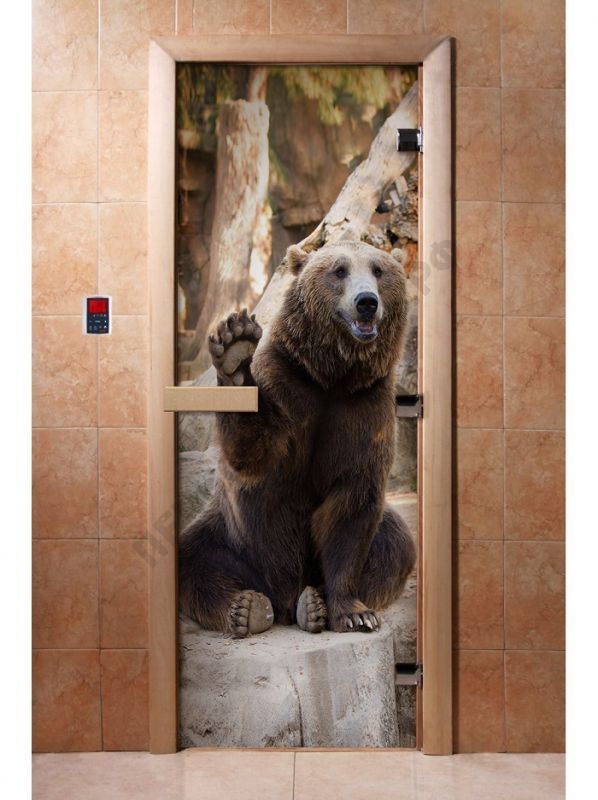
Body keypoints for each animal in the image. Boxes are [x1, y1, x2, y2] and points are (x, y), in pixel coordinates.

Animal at [179, 240, 416, 637]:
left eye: (379, 270)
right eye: (339, 270)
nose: (367, 301)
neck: (333, 376)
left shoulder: (366, 407)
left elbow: (352, 506)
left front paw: (353, 613)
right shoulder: (288, 385)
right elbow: (253, 455)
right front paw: (235, 348)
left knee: (396, 545)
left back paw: (313, 602)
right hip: (229, 536)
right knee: (193, 559)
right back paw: (248, 608)